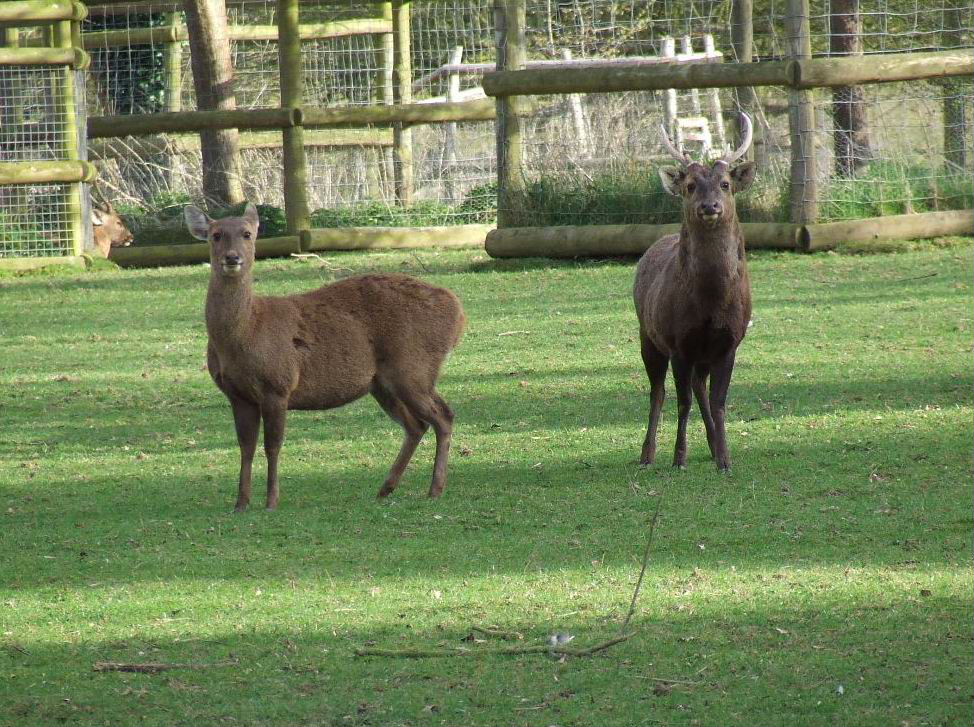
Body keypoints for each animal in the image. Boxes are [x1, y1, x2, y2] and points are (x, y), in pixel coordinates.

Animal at [185, 203, 466, 511]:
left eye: (247, 234)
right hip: (383, 383)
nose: (232, 258)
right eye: (216, 235)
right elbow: (245, 447)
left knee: (443, 416)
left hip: (413, 367)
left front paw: (271, 501)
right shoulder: (237, 394)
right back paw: (386, 489)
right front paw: (240, 504)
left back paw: (435, 489)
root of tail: (458, 314)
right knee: (416, 425)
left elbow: (273, 446)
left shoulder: (278, 384)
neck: (246, 333)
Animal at [633, 113, 755, 472]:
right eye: (690, 186)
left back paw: (713, 447)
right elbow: (682, 401)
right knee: (658, 392)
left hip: (703, 354)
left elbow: (718, 401)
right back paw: (647, 454)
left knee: (700, 387)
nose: (709, 206)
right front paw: (679, 458)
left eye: (725, 184)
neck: (711, 303)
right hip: (647, 335)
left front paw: (725, 459)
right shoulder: (678, 343)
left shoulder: (730, 342)